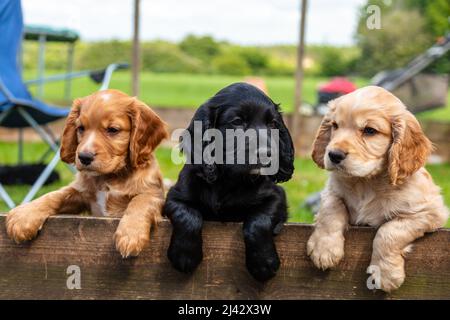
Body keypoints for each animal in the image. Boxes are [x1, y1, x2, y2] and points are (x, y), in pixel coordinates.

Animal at [6, 89, 168, 258]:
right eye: (81, 128)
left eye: (113, 130)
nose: (84, 157)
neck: (109, 178)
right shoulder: (80, 192)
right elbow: (54, 195)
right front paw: (24, 216)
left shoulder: (154, 194)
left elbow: (140, 200)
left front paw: (130, 235)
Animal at [163, 82, 294, 280]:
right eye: (237, 122)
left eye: (272, 124)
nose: (267, 154)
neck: (229, 180)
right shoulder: (175, 196)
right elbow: (187, 215)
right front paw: (184, 255)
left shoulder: (277, 196)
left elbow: (259, 220)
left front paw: (263, 263)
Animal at [308, 86, 448, 292]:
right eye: (335, 125)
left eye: (369, 131)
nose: (333, 155)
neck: (366, 183)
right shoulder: (330, 191)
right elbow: (331, 208)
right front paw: (324, 249)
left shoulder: (429, 212)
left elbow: (388, 231)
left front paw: (385, 273)